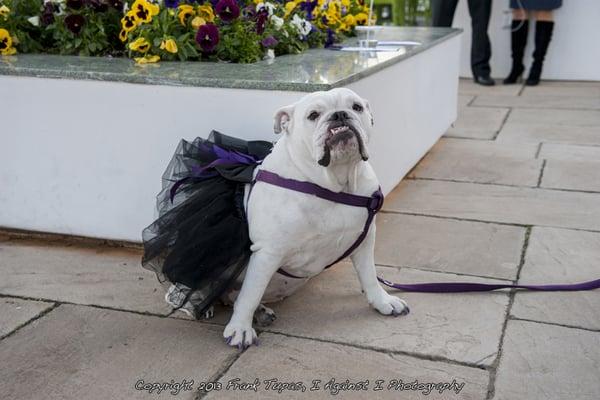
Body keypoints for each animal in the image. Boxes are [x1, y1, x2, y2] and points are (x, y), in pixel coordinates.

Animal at [143, 86, 410, 346]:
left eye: (356, 107)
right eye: (313, 115)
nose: (340, 115)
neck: (333, 183)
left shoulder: (364, 240)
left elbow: (369, 275)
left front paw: (382, 301)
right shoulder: (268, 252)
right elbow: (250, 294)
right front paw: (240, 329)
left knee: (230, 294)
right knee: (187, 284)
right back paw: (197, 302)